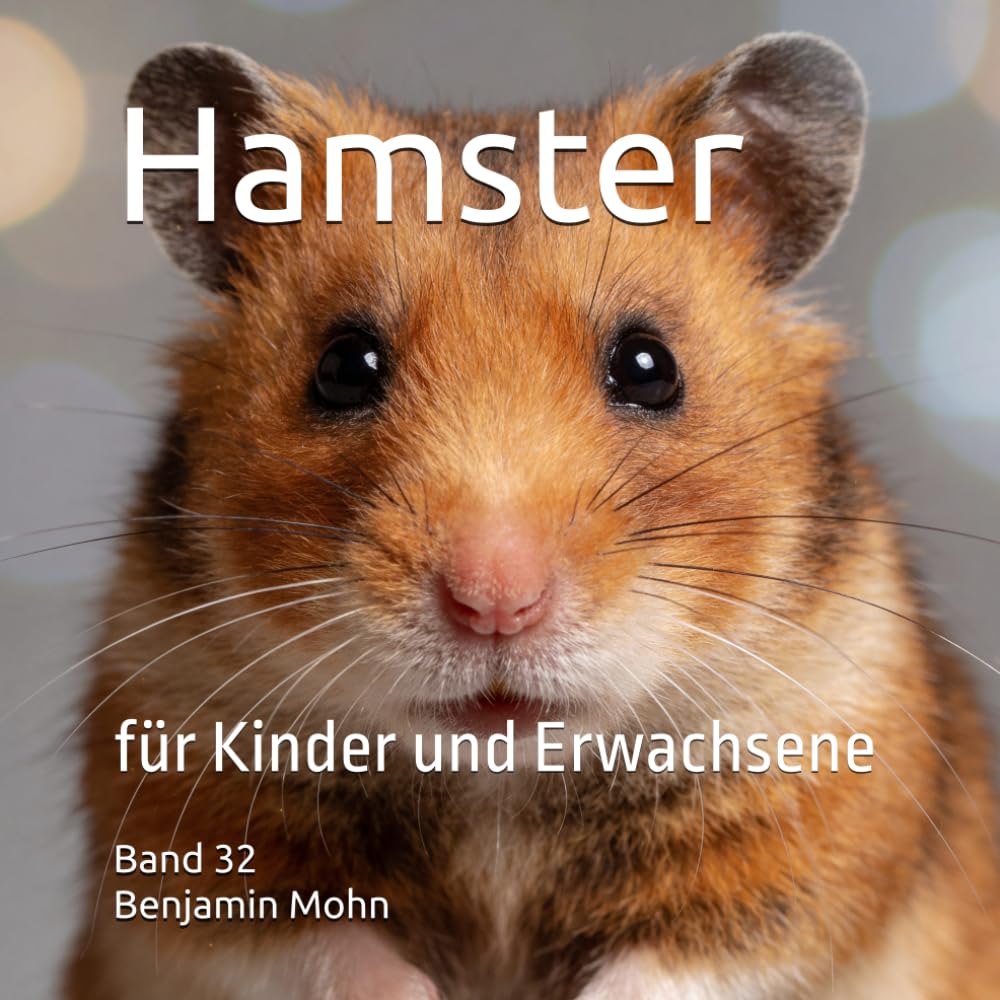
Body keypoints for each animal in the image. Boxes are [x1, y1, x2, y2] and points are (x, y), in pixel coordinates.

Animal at [64, 33, 999, 1000]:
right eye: (343, 366)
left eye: (649, 365)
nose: (494, 605)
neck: (500, 782)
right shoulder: (177, 808)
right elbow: (315, 942)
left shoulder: (818, 816)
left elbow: (687, 960)